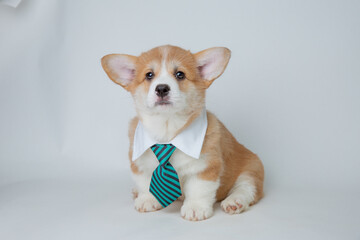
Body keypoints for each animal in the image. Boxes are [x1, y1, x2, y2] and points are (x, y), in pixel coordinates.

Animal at [101, 45, 264, 221]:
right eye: (149, 75)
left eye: (180, 74)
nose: (162, 88)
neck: (167, 131)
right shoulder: (139, 163)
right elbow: (145, 182)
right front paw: (147, 199)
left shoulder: (205, 167)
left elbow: (198, 188)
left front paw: (195, 208)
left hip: (252, 169)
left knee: (246, 188)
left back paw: (235, 201)